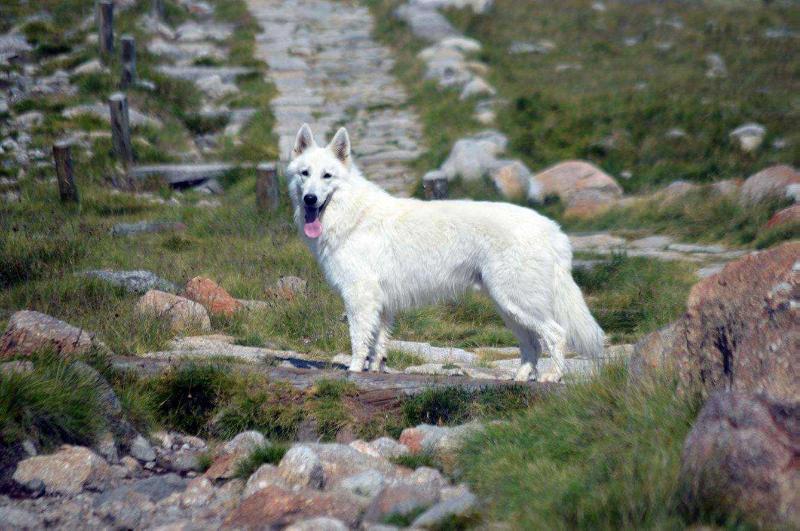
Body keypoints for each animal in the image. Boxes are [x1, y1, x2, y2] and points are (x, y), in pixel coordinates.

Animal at [288, 124, 600, 382]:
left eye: (327, 176)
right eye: (305, 174)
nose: (310, 199)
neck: (351, 214)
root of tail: (553, 230)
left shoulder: (359, 296)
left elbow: (358, 340)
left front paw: (354, 371)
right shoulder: (381, 303)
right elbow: (378, 345)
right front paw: (375, 370)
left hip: (517, 302)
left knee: (556, 335)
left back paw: (552, 377)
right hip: (508, 306)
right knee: (532, 344)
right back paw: (521, 378)